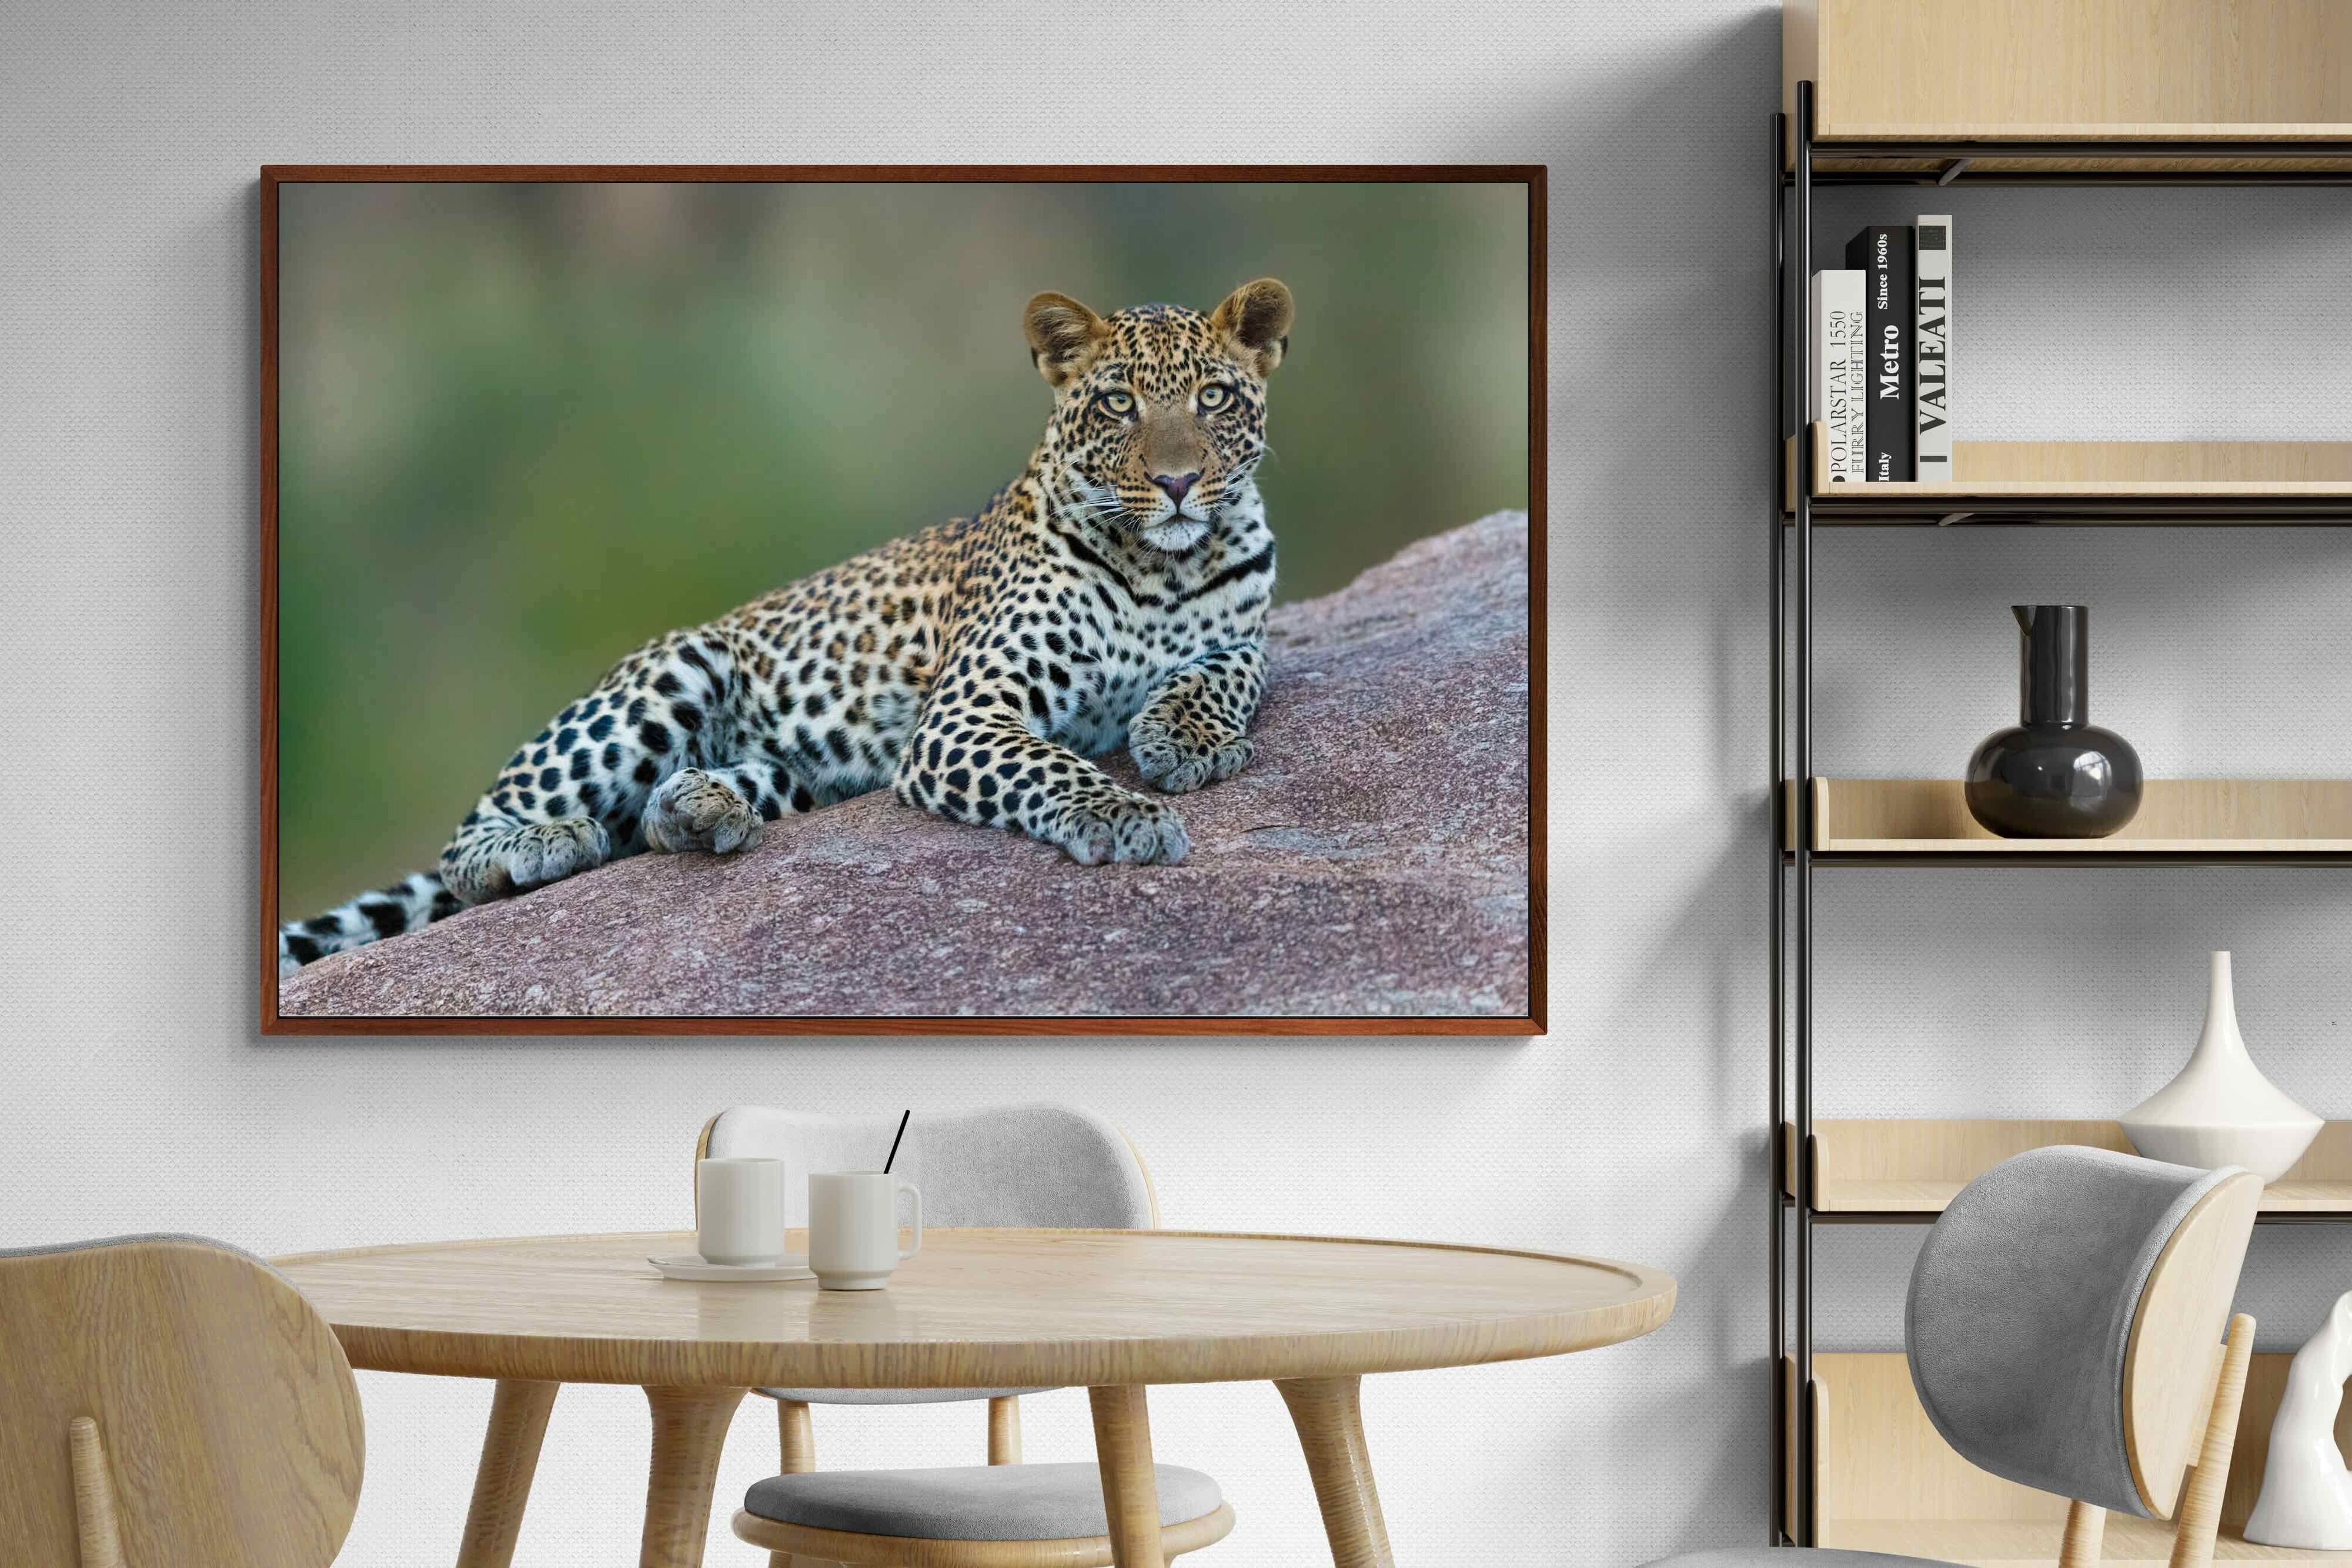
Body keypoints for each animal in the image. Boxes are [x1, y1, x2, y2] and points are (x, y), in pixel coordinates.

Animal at [279, 278, 1294, 974]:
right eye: (1120, 403)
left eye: (1212, 398)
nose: (1177, 482)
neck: (1164, 564)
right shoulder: (964, 714)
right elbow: (1051, 765)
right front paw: (1128, 813)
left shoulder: (1245, 631)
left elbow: (1229, 670)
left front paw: (1183, 738)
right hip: (669, 673)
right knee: (471, 840)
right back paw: (548, 840)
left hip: (797, 771)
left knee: (668, 812)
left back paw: (700, 809)